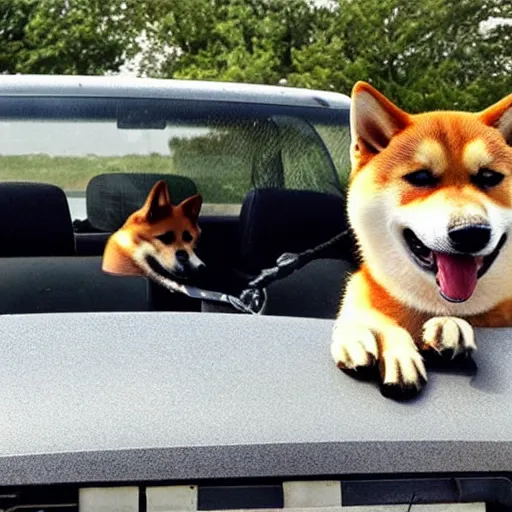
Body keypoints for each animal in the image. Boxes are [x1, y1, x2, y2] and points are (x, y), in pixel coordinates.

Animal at [330, 81, 512, 400]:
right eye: (421, 177)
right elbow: (371, 318)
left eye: (490, 177)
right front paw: (366, 335)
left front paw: (449, 324)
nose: (470, 231)